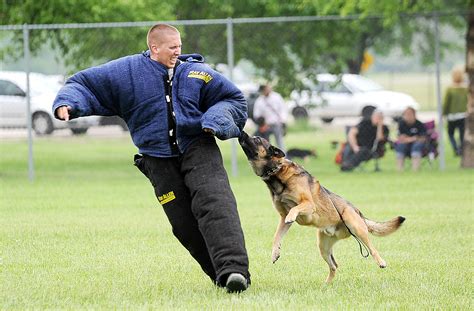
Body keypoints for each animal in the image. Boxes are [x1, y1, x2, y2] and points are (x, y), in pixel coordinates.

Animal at [239, 133, 406, 284]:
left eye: (257, 139)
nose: (241, 133)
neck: (277, 173)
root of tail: (358, 212)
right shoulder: (282, 217)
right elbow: (277, 236)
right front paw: (275, 253)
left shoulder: (308, 205)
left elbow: (294, 209)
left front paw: (292, 217)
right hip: (323, 246)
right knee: (334, 265)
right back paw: (326, 285)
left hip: (354, 224)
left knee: (371, 247)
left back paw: (381, 261)